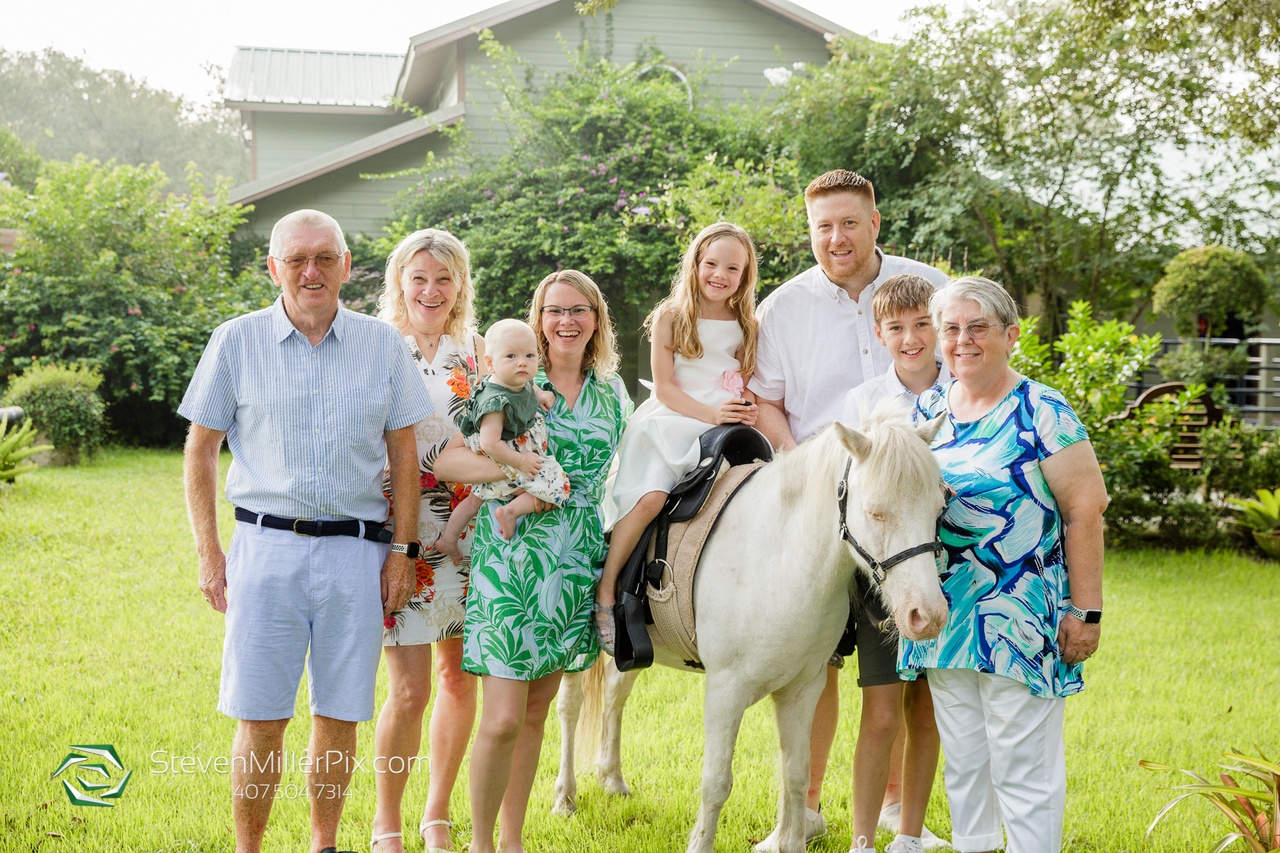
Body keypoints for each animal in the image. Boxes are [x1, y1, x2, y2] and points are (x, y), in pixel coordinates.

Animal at [552, 407, 952, 850]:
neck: (781, 557)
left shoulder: (802, 691)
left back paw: (612, 778)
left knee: (614, 693)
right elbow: (716, 783)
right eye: (877, 512)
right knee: (570, 707)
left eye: (939, 509)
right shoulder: (724, 692)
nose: (928, 615)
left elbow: (795, 777)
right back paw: (565, 797)